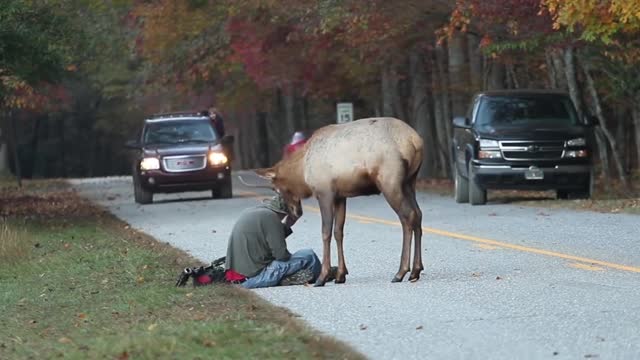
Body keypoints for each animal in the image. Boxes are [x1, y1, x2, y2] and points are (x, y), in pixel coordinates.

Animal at [255, 118, 424, 286]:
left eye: (275, 189)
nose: (296, 212)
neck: (302, 172)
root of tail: (415, 140)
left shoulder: (325, 193)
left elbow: (326, 232)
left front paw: (322, 277)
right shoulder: (340, 197)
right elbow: (338, 232)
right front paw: (340, 275)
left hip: (390, 182)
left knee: (407, 217)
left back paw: (401, 272)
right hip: (410, 181)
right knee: (418, 214)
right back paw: (416, 270)